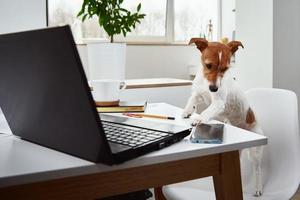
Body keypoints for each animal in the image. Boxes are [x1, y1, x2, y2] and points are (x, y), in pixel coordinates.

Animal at [183, 38, 264, 197]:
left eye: (225, 68)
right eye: (208, 65)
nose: (214, 89)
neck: (206, 83)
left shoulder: (218, 103)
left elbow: (206, 112)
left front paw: (198, 119)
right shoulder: (199, 93)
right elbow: (192, 99)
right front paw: (187, 111)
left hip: (255, 153)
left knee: (257, 169)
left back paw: (258, 188)